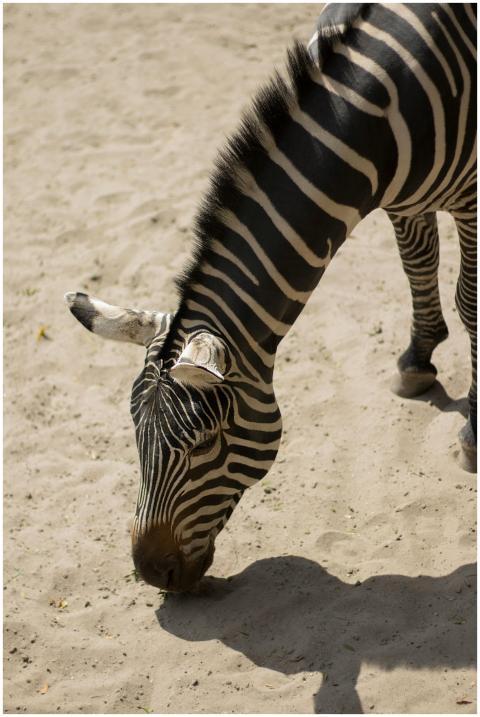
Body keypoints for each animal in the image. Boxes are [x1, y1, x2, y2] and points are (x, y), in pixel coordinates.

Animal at [65, 4, 476, 592]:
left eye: (204, 445)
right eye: (134, 434)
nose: (151, 574)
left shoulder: (471, 196)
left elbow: (470, 301)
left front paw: (472, 430)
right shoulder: (402, 196)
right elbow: (417, 263)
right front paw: (418, 361)